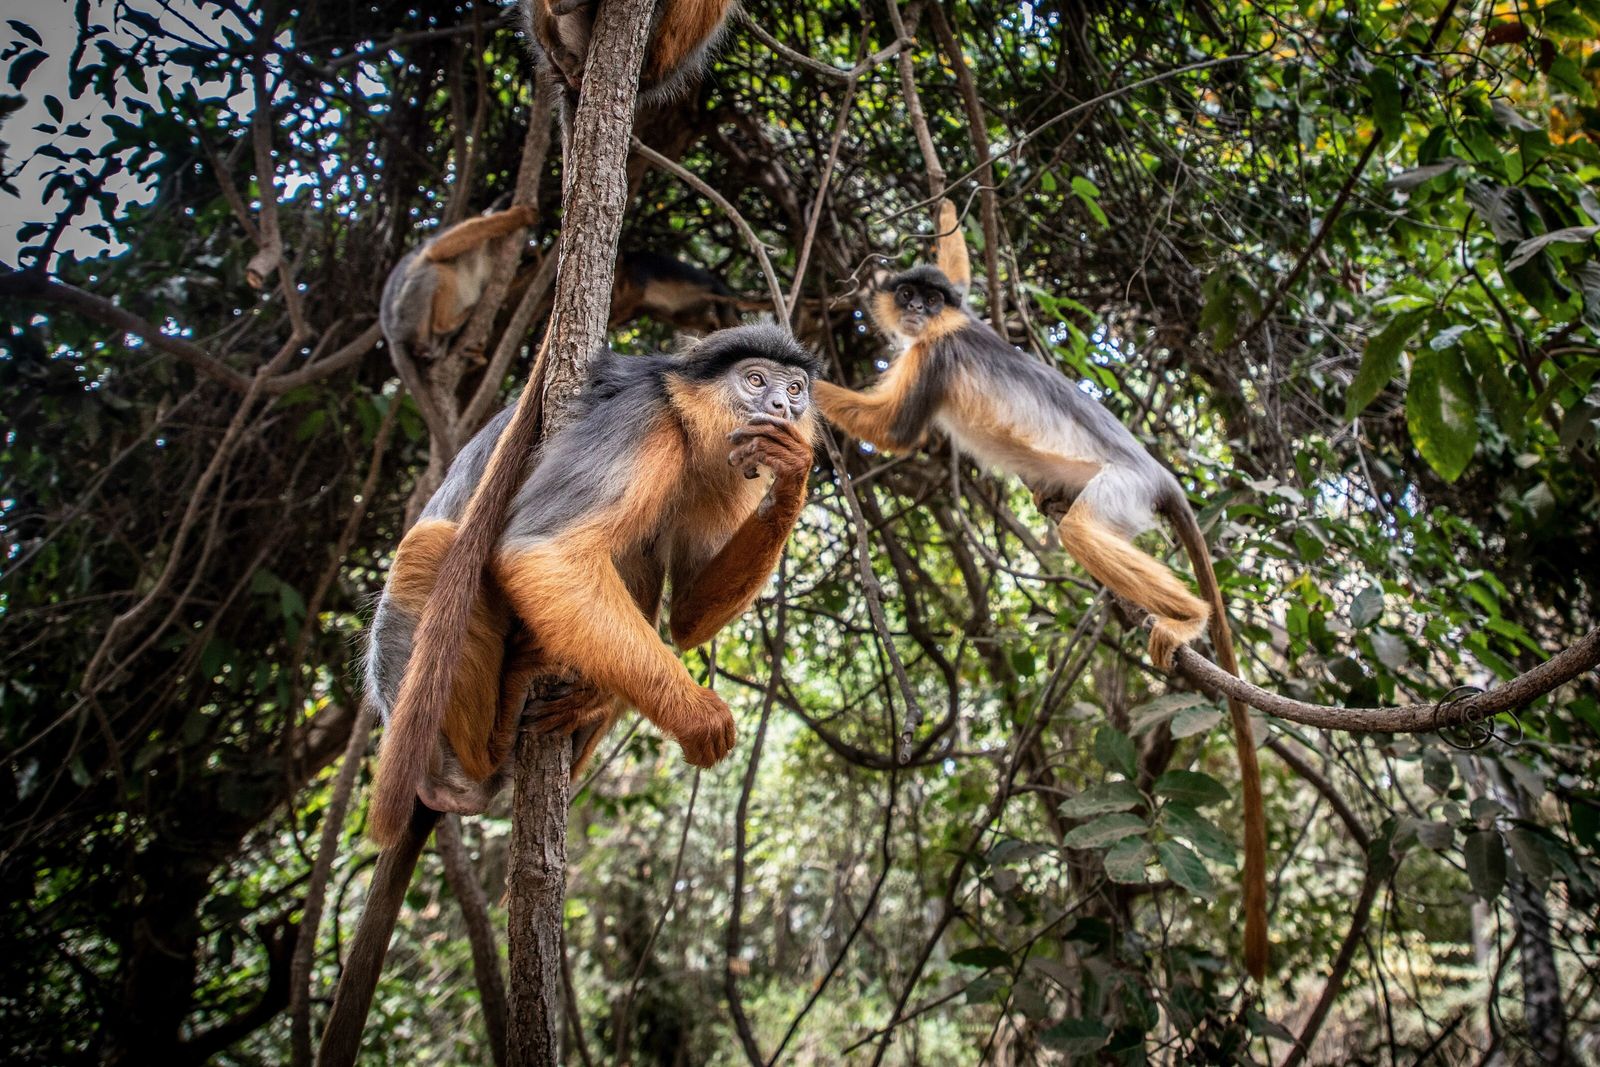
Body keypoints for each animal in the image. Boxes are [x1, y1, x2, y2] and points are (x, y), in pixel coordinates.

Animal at [366, 323, 819, 844]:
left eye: (795, 389)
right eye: (756, 380)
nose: (783, 407)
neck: (687, 427)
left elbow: (687, 618)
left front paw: (793, 476)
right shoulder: (643, 419)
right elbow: (542, 550)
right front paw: (698, 717)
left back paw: (581, 701)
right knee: (429, 546)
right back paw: (470, 764)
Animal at [819, 199, 1267, 985]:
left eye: (926, 299)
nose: (914, 308)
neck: (944, 328)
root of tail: (1161, 473)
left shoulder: (934, 355)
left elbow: (895, 432)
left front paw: (781, 376)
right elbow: (963, 262)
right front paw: (949, 208)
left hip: (1123, 490)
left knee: (1086, 532)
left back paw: (1188, 617)